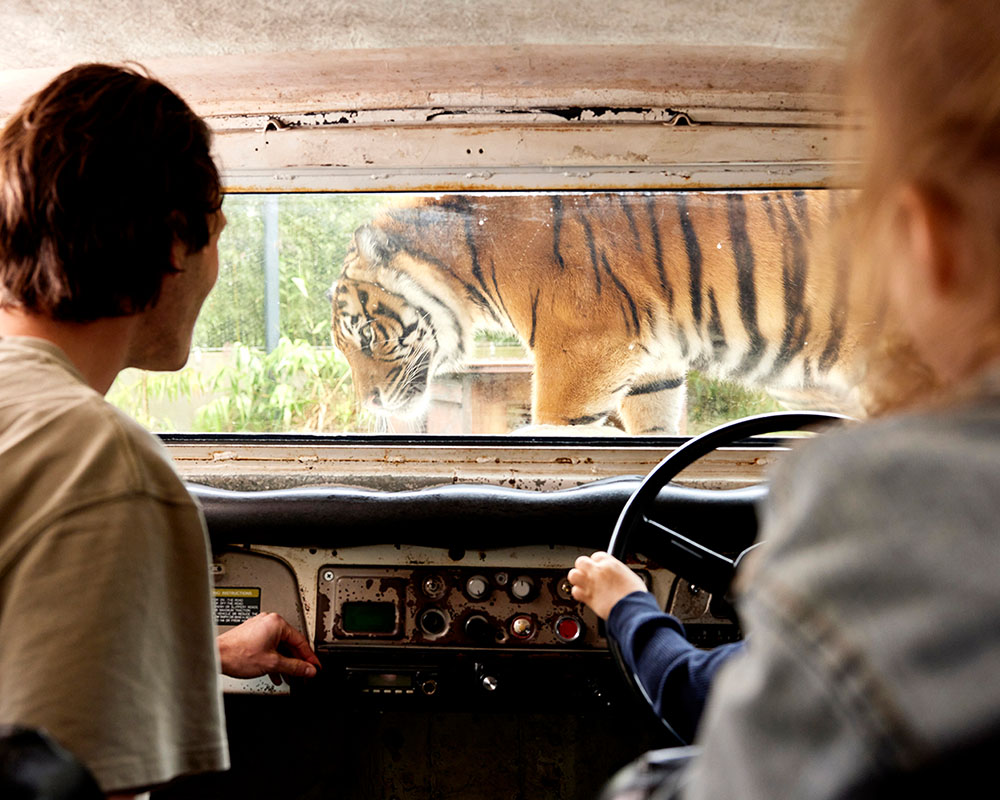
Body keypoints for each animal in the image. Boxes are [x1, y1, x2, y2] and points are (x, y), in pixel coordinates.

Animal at [330, 191, 869, 435]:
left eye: (366, 336)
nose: (369, 402)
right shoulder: (654, 361)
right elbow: (655, 423)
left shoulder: (584, 348)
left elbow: (557, 425)